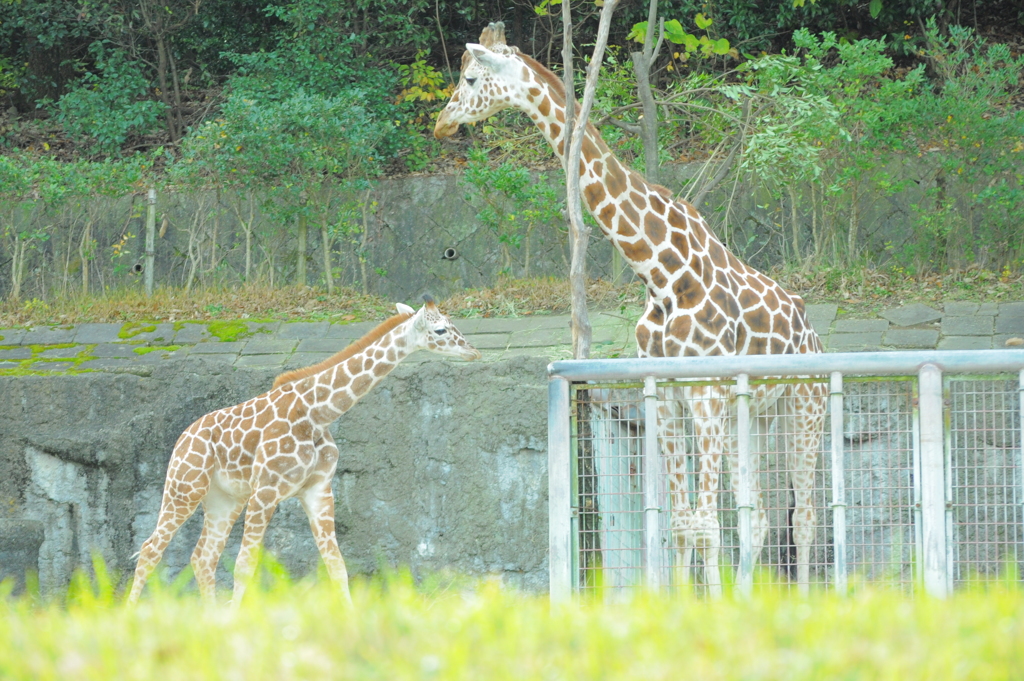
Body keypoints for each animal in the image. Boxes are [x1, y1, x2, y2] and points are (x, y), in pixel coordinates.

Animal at [128, 296, 479, 602]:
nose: (474, 351)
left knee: (202, 558)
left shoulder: (318, 491)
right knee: (150, 548)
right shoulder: (265, 491)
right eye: (441, 330)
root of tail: (182, 438)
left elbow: (337, 567)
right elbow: (245, 566)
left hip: (224, 499)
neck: (317, 412)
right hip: (185, 487)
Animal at [436, 22, 827, 593]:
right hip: (752, 413)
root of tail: (813, 331)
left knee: (805, 517)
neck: (661, 273)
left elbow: (705, 523)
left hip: (806, 401)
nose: (441, 123)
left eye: (469, 78)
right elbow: (684, 524)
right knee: (755, 517)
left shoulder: (705, 392)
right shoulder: (665, 394)